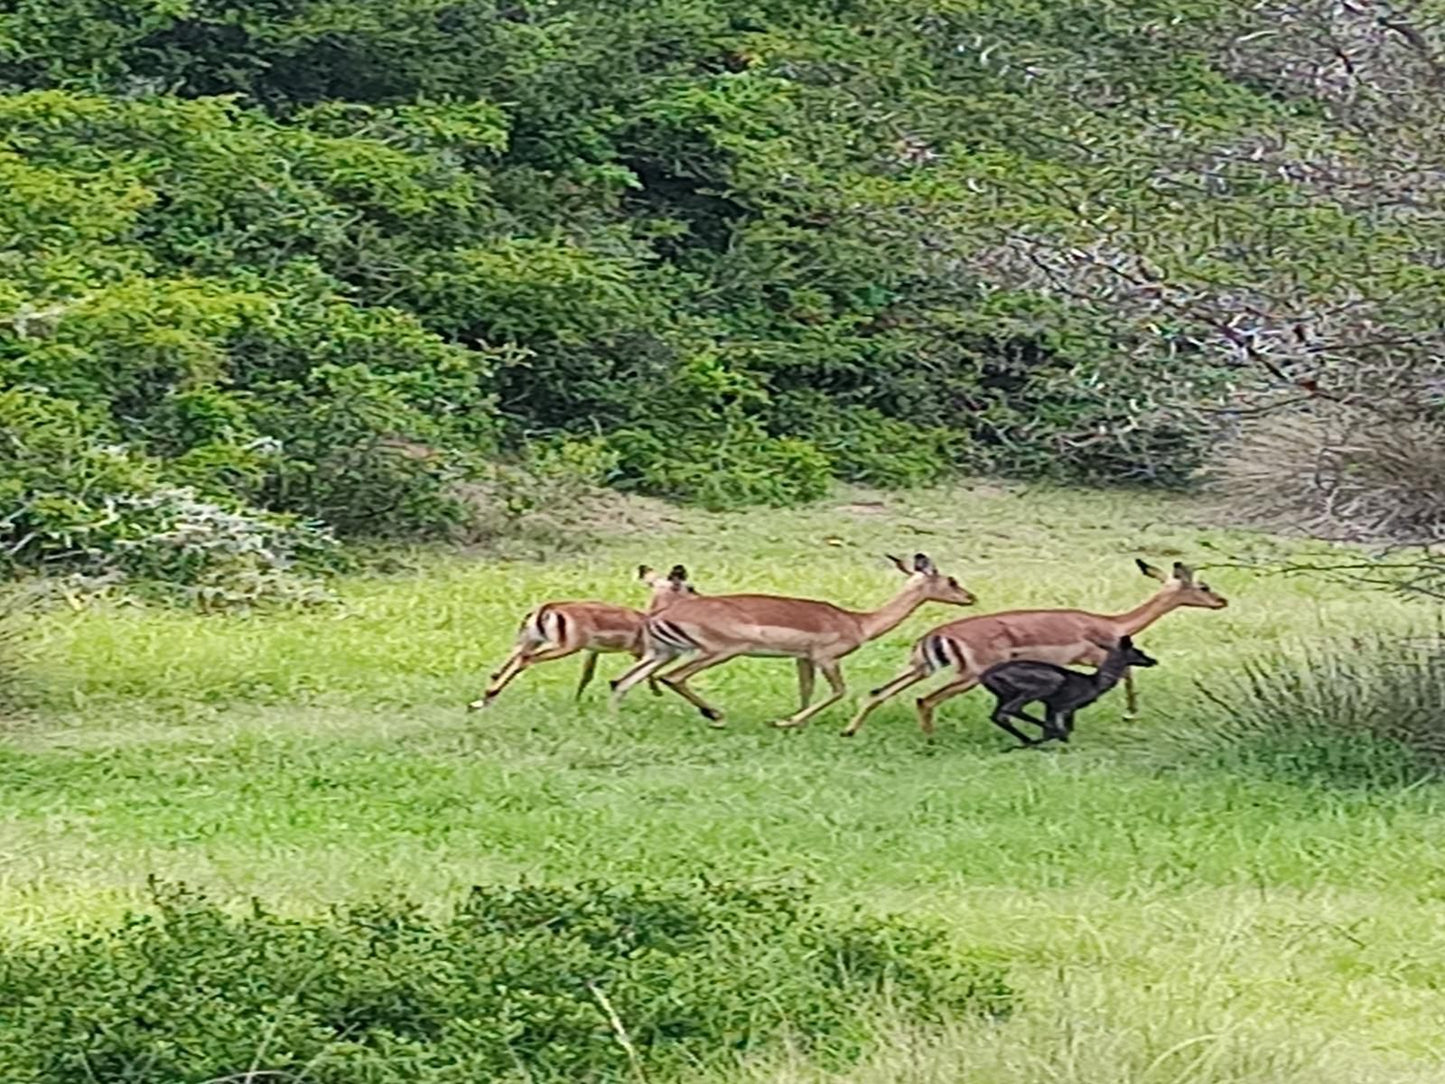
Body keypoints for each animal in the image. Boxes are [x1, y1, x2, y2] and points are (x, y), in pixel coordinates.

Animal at [471, 569, 696, 713]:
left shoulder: (593, 651)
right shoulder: (642, 651)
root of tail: (545, 609)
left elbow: (586, 675)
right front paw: (656, 692)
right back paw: (488, 697)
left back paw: (484, 699)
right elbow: (645, 672)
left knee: (499, 669)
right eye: (690, 587)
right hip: (562, 647)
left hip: (528, 641)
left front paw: (577, 701)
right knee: (525, 660)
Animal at [604, 555, 976, 734]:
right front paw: (785, 723)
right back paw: (717, 716)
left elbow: (806, 691)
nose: (970, 597)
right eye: (951, 580)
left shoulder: (802, 659)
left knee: (622, 681)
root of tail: (660, 617)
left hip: (662, 652)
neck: (858, 622)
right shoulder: (827, 658)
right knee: (672, 678)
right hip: (716, 652)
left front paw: (796, 721)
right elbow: (839, 691)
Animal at [838, 560, 1231, 740]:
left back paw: (852, 731)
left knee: (879, 692)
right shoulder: (1093, 656)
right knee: (925, 699)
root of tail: (937, 634)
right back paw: (930, 739)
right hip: (968, 674)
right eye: (1204, 586)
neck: (1111, 623)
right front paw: (1130, 714)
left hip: (922, 667)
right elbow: (1128, 674)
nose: (1222, 601)